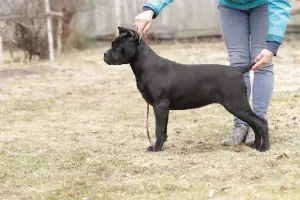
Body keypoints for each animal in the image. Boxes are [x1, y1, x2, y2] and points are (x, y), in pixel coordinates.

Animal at [103, 26, 270, 152]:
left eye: (117, 46)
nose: (104, 54)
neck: (146, 65)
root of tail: (238, 70)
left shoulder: (160, 106)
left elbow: (159, 129)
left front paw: (156, 148)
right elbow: (163, 130)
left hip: (236, 104)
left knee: (261, 122)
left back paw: (264, 148)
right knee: (255, 124)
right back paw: (256, 146)